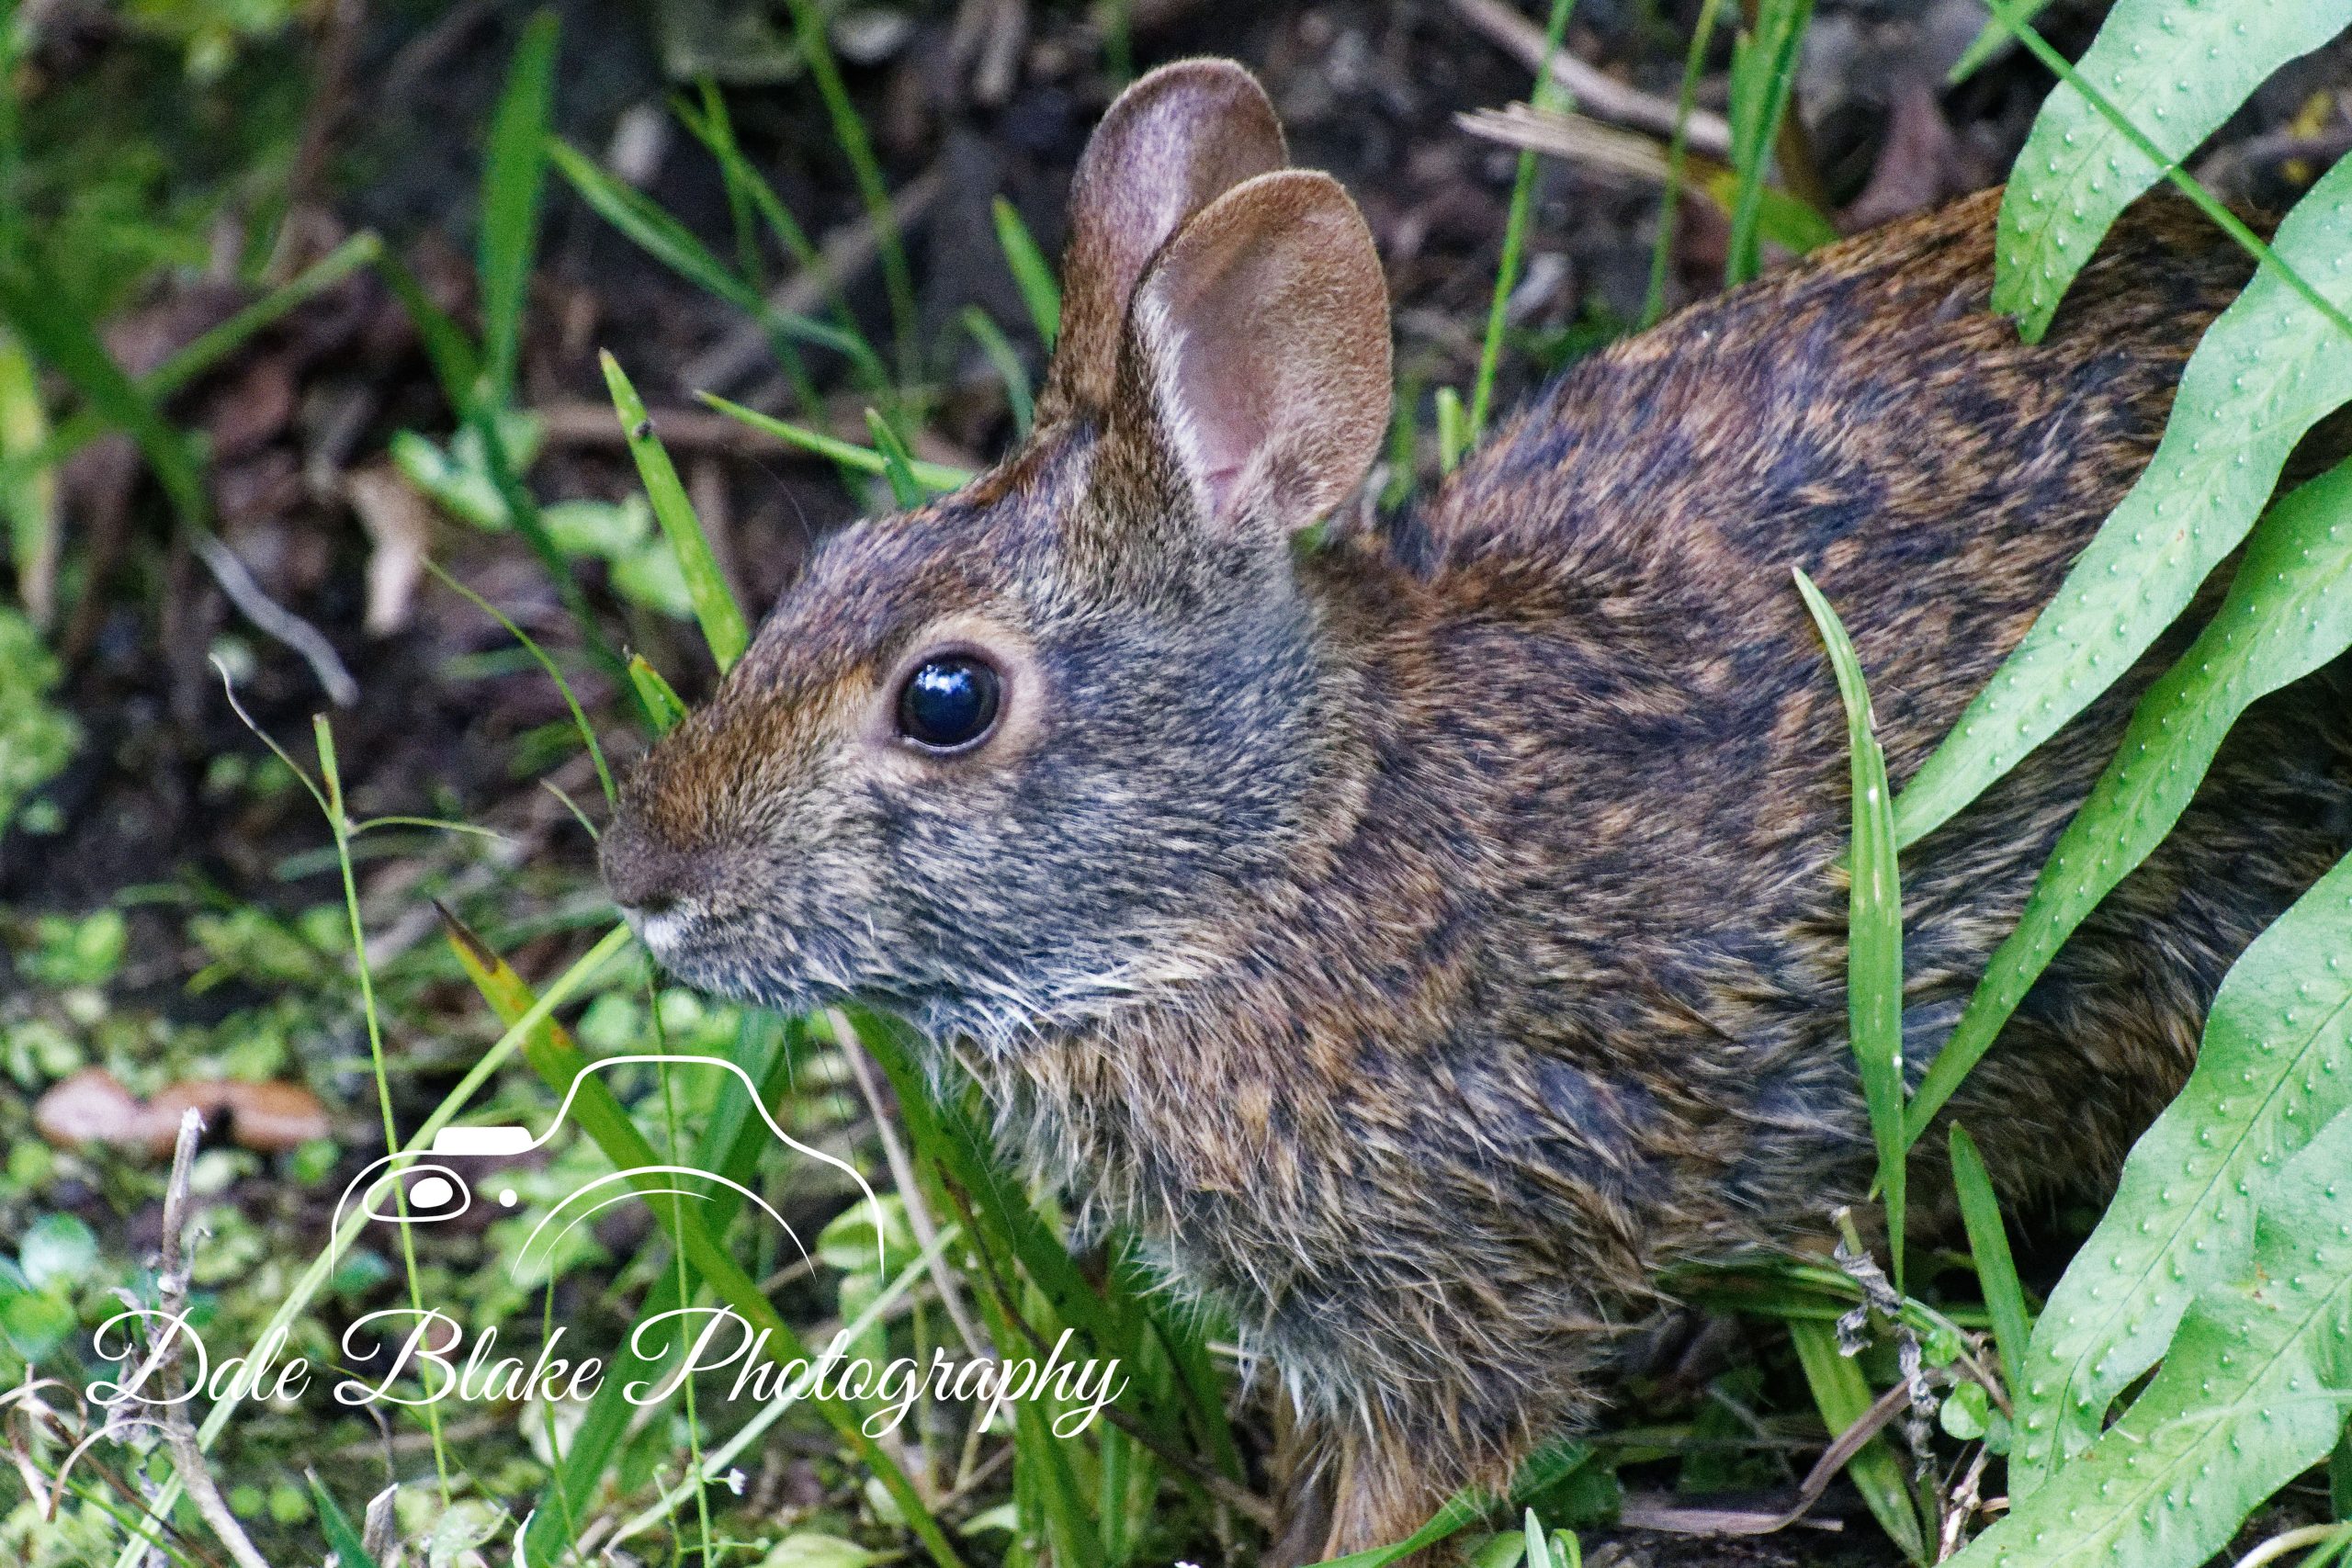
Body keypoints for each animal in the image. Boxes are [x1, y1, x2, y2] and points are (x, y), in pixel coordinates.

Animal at [606, 55, 2352, 1561]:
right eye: (835, 559)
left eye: (948, 698)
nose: (646, 878)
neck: (1274, 856)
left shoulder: (1455, 1291)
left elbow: (1426, 1481)